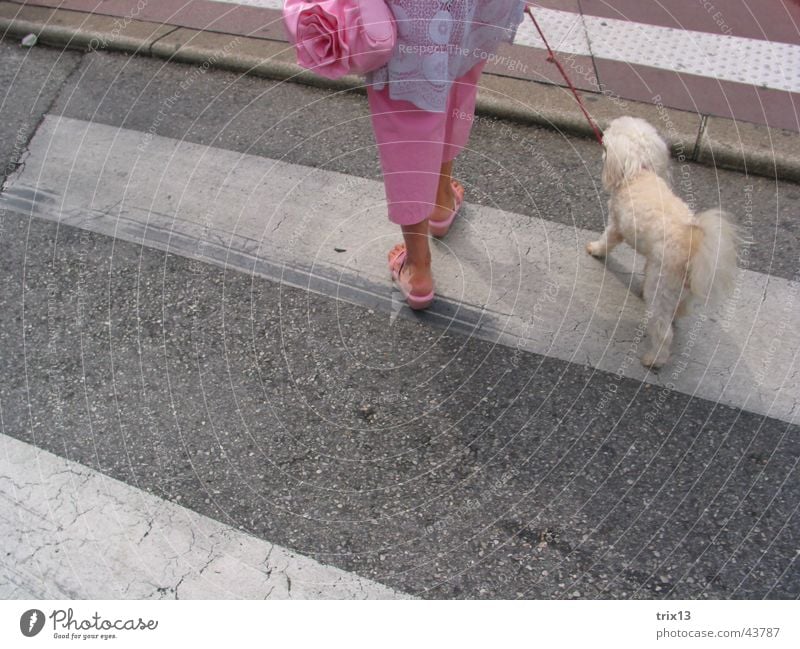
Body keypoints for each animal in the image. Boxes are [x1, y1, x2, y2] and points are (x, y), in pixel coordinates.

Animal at [588, 117, 736, 370]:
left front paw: (595, 250)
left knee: (663, 330)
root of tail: (692, 247)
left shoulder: (617, 223)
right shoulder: (651, 256)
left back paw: (654, 359)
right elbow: (646, 264)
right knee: (679, 310)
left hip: (662, 287)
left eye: (610, 134)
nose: (602, 135)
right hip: (681, 289)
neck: (639, 170)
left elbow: (607, 239)